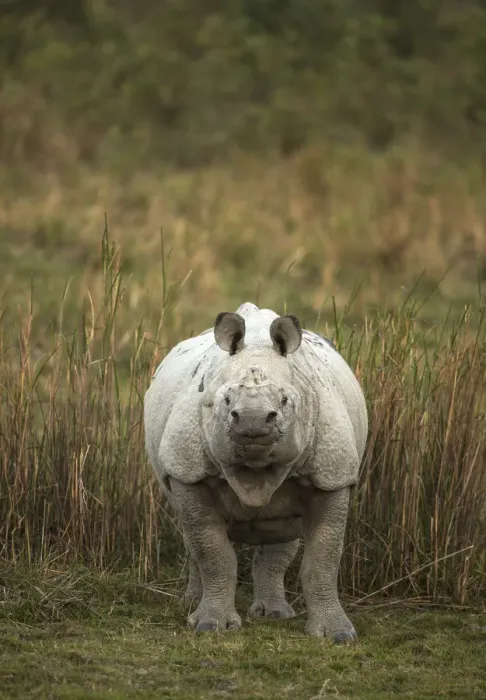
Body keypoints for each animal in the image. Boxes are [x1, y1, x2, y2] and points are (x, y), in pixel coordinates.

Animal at [144, 302, 368, 642]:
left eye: (285, 401)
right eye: (226, 401)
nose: (252, 421)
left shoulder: (333, 475)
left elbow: (323, 559)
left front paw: (337, 635)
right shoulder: (188, 471)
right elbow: (212, 552)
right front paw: (210, 626)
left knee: (281, 533)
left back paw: (273, 614)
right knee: (190, 532)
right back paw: (191, 603)